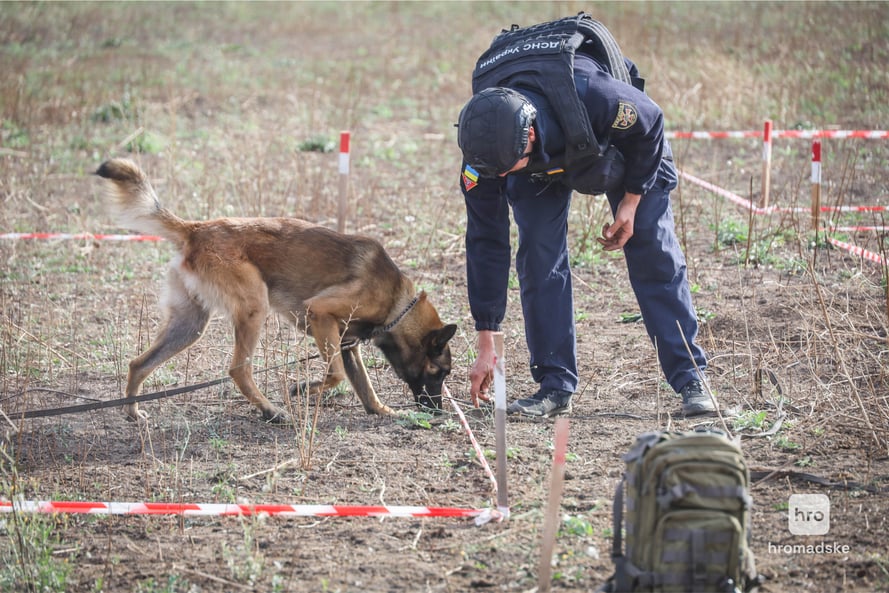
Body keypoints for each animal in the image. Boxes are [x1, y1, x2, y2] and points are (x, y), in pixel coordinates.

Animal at [95, 158, 458, 420]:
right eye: (439, 373)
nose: (436, 410)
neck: (397, 303)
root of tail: (196, 229)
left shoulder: (345, 343)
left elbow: (363, 385)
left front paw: (386, 412)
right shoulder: (320, 313)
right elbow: (337, 375)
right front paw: (302, 389)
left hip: (190, 324)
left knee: (138, 363)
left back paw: (132, 411)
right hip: (254, 307)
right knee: (238, 369)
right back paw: (271, 410)